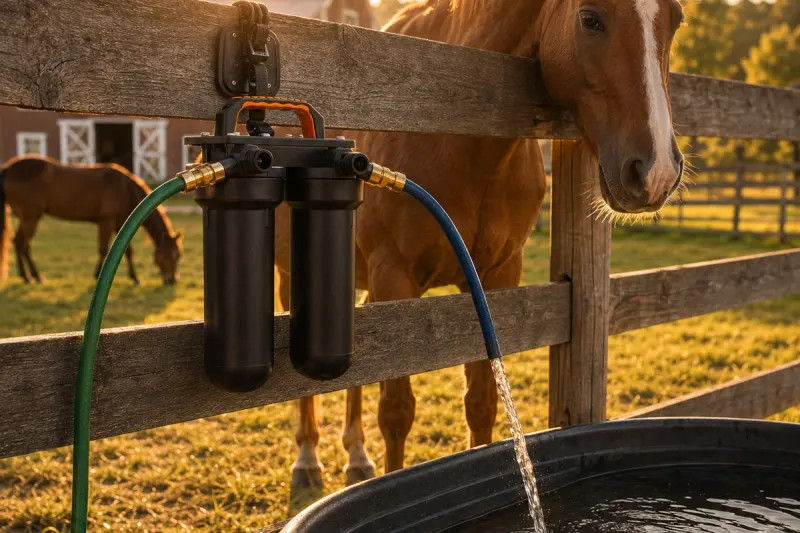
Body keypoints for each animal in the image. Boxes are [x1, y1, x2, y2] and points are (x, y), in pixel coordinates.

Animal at [0, 155, 183, 286]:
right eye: (166, 255)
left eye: (178, 256)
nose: (172, 280)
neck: (125, 189)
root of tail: (9, 169)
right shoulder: (106, 221)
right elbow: (103, 249)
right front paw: (97, 276)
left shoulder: (120, 222)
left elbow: (128, 251)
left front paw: (135, 278)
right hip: (31, 217)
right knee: (21, 243)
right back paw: (33, 277)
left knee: (20, 243)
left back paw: (28, 277)